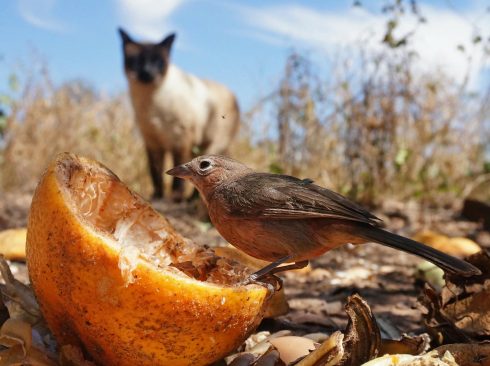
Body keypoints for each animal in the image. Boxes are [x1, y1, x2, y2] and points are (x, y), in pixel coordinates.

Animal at [119, 27, 241, 200]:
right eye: (136, 61)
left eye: (158, 62)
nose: (147, 72)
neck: (150, 100)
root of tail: (233, 94)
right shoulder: (152, 142)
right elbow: (155, 172)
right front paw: (157, 196)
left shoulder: (180, 141)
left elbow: (177, 178)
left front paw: (175, 197)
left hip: (212, 143)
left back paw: (191, 200)